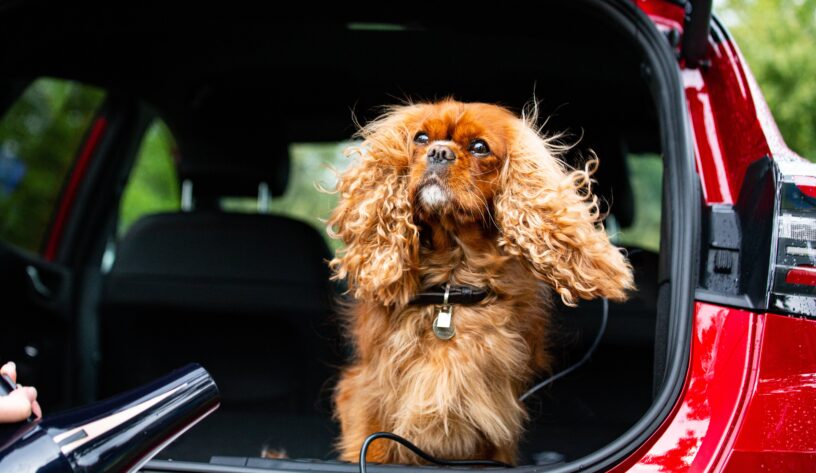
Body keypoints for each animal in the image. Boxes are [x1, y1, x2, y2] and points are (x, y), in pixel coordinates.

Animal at [328, 97, 636, 464]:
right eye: (420, 138)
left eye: (479, 147)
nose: (439, 152)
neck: (451, 280)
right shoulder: (369, 397)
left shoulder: (494, 418)